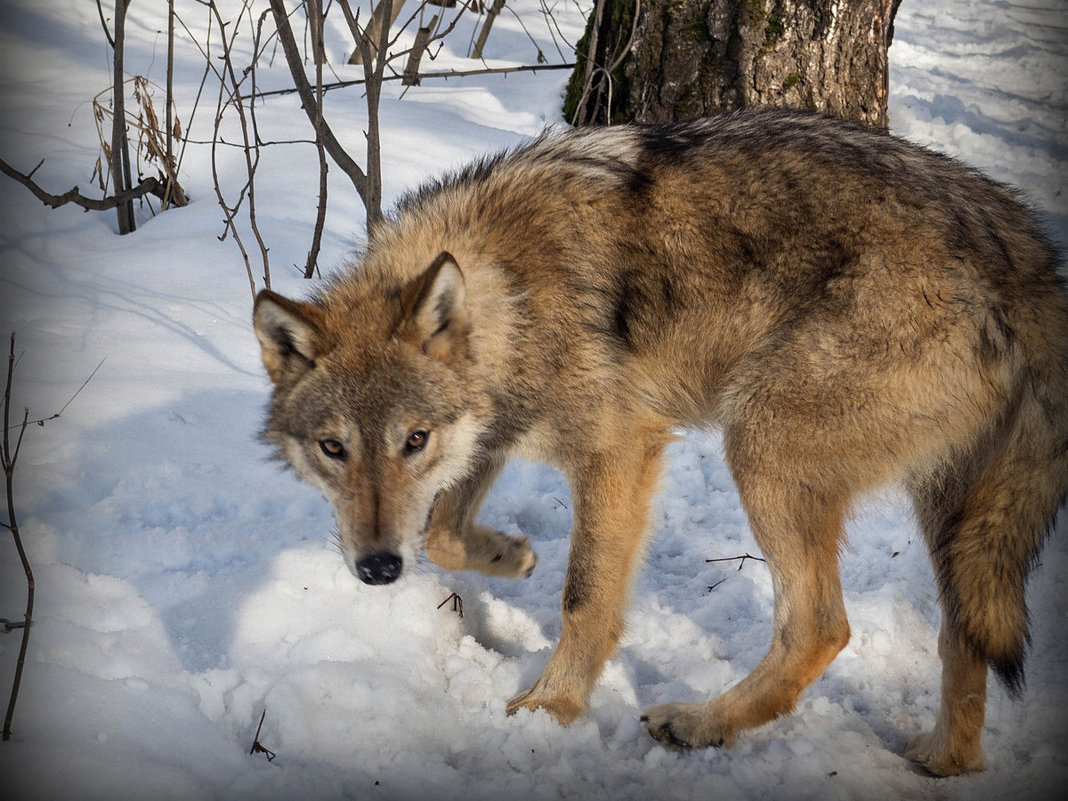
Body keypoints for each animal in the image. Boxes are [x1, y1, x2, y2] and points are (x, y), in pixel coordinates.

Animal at [254, 110, 1068, 773]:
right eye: (333, 449)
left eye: (413, 438)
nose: (378, 569)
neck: (508, 291)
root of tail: (1027, 257)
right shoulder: (498, 434)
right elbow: (444, 531)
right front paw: (510, 556)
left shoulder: (618, 449)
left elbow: (584, 596)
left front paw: (549, 711)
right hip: (952, 515)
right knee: (964, 633)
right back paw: (944, 759)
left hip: (759, 439)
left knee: (821, 626)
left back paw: (700, 723)